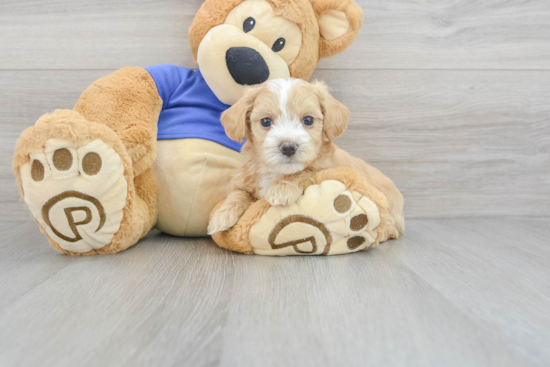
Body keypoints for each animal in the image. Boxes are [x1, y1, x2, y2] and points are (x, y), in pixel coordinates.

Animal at [208, 78, 406, 239]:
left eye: (308, 120)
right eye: (265, 121)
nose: (288, 146)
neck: (275, 172)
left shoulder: (324, 168)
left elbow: (306, 171)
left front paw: (281, 188)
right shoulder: (246, 180)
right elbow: (237, 193)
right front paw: (222, 216)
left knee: (390, 228)